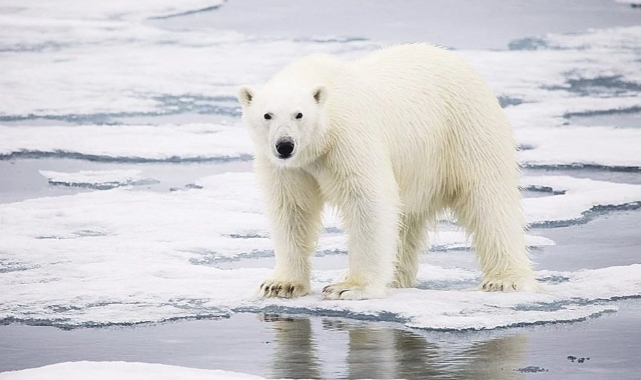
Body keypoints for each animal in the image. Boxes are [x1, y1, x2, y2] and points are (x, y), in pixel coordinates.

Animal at [238, 43, 536, 300]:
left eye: (299, 114)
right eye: (267, 115)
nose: (284, 145)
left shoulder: (349, 139)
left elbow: (367, 201)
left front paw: (350, 287)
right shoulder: (287, 167)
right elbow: (291, 208)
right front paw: (280, 285)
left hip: (465, 129)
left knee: (488, 200)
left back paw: (504, 280)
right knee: (405, 220)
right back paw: (394, 276)